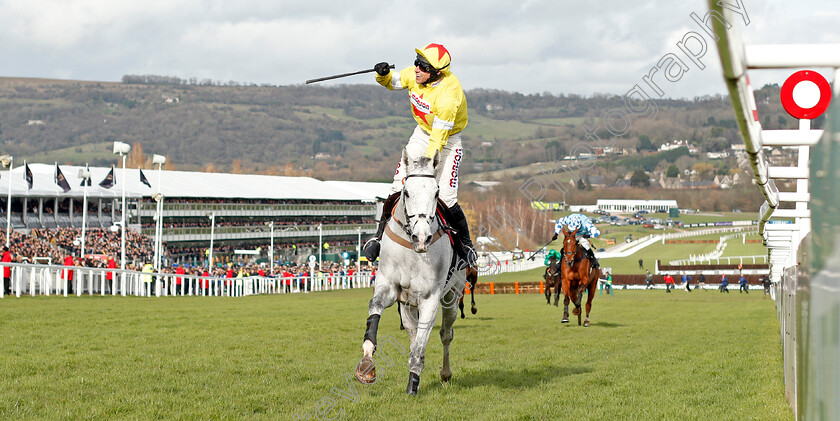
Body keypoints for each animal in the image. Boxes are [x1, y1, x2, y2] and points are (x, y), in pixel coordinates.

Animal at [352, 150, 466, 394]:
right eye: (406, 192)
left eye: (436, 193)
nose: (421, 238)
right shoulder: (389, 286)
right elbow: (375, 310)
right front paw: (367, 363)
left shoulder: (430, 298)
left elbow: (421, 346)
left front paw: (413, 385)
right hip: (406, 304)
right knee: (413, 333)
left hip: (453, 296)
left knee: (446, 334)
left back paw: (445, 374)